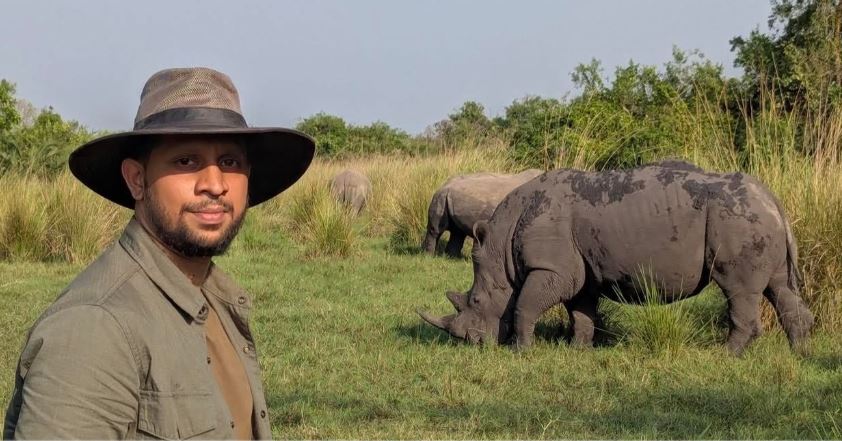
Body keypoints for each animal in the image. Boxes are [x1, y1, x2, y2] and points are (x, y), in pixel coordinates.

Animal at [418, 161, 814, 356]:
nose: (471, 343)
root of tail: (772, 197)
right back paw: (800, 353)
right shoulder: (577, 270)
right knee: (778, 288)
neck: (501, 247)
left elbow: (524, 306)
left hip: (737, 220)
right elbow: (580, 311)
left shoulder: (551, 267)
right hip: (756, 219)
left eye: (476, 300)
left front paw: (521, 350)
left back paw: (724, 356)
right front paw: (576, 350)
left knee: (738, 290)